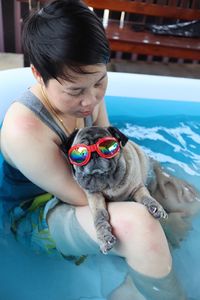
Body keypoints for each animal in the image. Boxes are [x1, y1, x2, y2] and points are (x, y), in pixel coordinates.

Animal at [66, 125, 200, 252]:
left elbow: (147, 198)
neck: (109, 183)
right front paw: (104, 236)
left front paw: (156, 208)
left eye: (107, 148)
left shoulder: (138, 188)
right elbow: (100, 217)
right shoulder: (95, 197)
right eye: (80, 154)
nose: (94, 155)